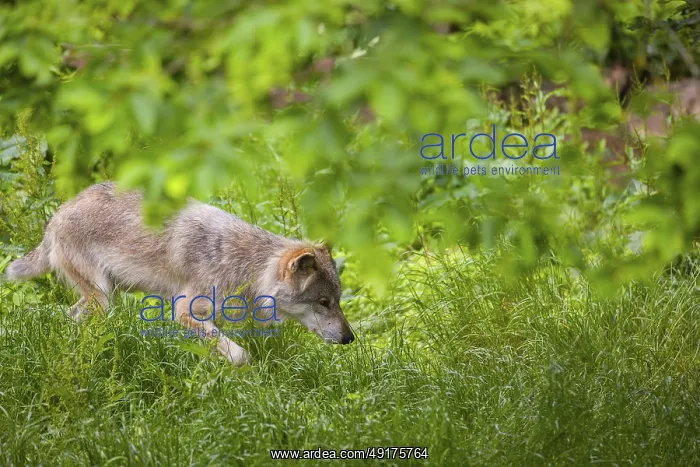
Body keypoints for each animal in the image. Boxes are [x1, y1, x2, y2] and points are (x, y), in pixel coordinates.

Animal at [6, 182, 354, 366]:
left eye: (337, 301)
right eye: (323, 303)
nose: (350, 338)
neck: (246, 265)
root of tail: (56, 216)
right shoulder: (185, 310)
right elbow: (238, 354)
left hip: (105, 299)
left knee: (69, 316)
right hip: (103, 299)